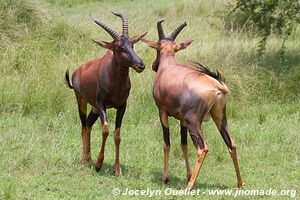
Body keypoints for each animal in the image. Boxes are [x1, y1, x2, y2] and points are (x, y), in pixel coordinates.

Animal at [65, 12, 147, 175]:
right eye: (118, 47)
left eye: (132, 44)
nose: (140, 65)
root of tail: (77, 71)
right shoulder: (102, 104)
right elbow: (105, 130)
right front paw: (98, 164)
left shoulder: (122, 106)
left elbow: (117, 135)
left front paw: (117, 169)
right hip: (82, 101)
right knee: (83, 127)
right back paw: (85, 162)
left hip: (94, 108)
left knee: (88, 125)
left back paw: (89, 158)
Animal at [141, 19, 244, 189]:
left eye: (157, 46)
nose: (154, 65)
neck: (169, 66)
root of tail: (217, 86)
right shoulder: (182, 119)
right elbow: (184, 145)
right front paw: (188, 175)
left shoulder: (162, 112)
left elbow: (166, 143)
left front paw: (165, 178)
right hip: (220, 118)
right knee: (232, 144)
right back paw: (240, 183)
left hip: (194, 122)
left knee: (202, 149)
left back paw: (188, 187)